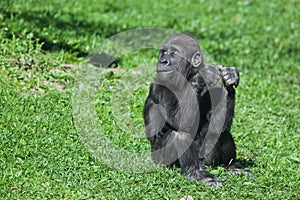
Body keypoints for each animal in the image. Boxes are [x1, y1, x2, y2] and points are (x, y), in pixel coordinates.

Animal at [143, 32, 251, 188]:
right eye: (163, 52)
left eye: (173, 54)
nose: (163, 61)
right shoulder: (162, 84)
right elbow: (179, 122)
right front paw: (203, 75)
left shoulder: (213, 89)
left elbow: (220, 124)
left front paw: (230, 77)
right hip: (161, 161)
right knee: (180, 134)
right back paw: (195, 173)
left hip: (207, 162)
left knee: (221, 133)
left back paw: (231, 167)